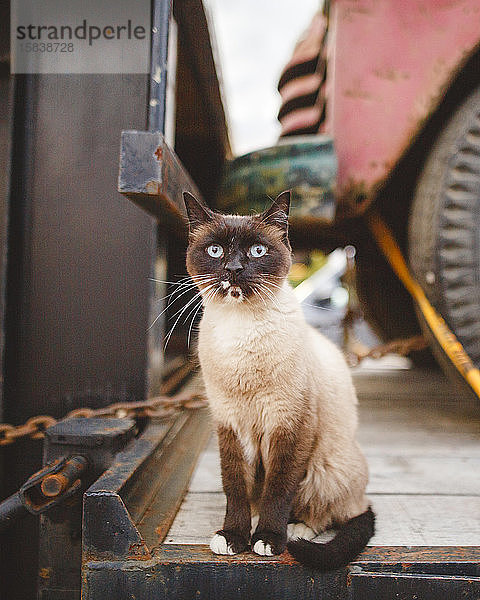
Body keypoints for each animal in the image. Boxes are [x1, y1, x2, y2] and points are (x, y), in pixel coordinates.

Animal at [182, 190, 374, 568]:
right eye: (216, 251)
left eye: (258, 251)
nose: (233, 269)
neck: (241, 331)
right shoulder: (231, 424)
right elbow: (235, 487)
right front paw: (233, 537)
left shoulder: (290, 424)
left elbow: (279, 488)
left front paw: (269, 540)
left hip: (325, 465)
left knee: (331, 512)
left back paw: (295, 530)